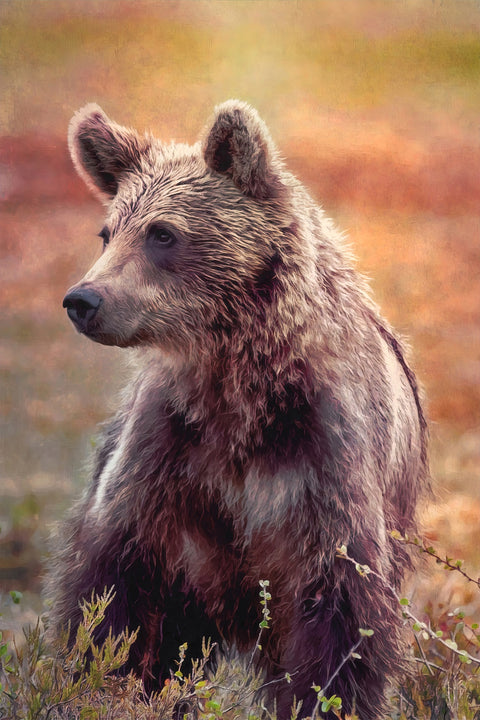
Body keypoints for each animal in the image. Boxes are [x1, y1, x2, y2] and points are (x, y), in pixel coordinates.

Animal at [49, 100, 429, 719]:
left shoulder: (321, 463)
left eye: (162, 233)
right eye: (107, 232)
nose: (84, 299)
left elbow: (340, 622)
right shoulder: (168, 458)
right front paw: (104, 681)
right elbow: (114, 602)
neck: (237, 389)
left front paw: (326, 699)